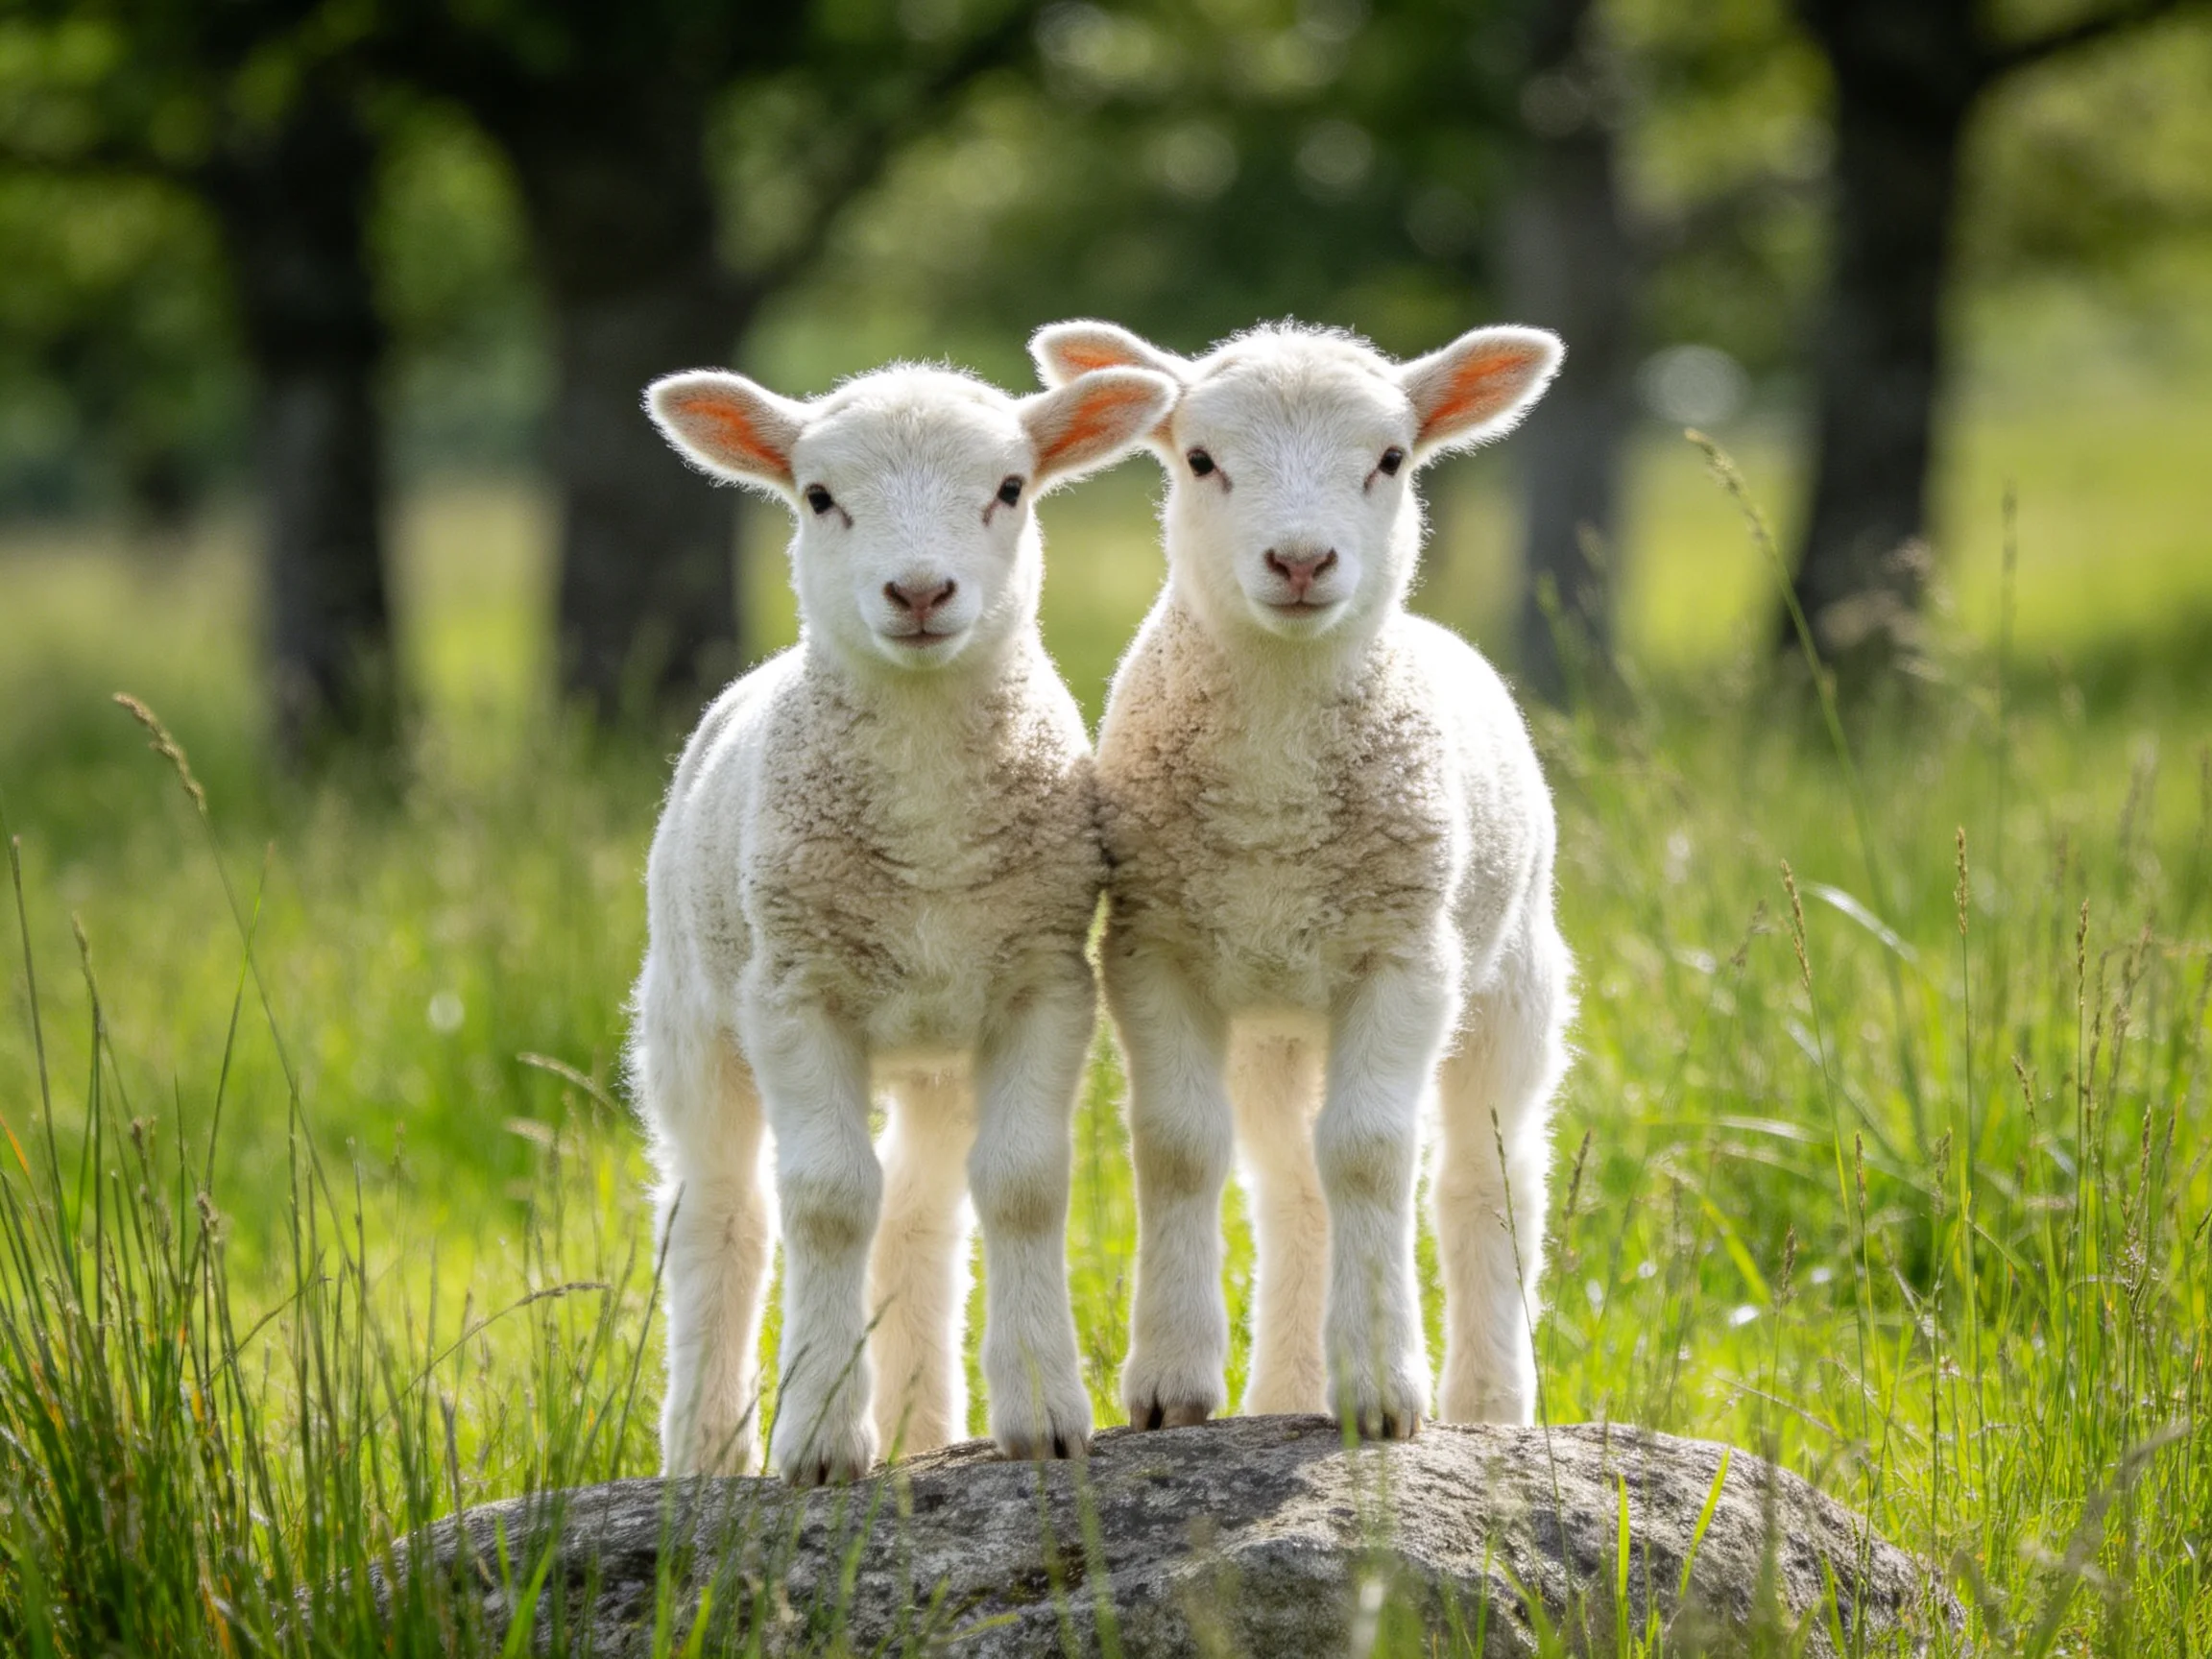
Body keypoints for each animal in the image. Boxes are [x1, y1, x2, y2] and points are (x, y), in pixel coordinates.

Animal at [632, 357, 1177, 1484]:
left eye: (1011, 488)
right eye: (818, 496)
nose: (920, 593)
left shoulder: (1043, 981)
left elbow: (1021, 1185)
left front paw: (1045, 1416)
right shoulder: (796, 990)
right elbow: (828, 1200)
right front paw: (819, 1441)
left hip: (936, 1055)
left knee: (921, 1217)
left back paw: (927, 1432)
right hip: (693, 1018)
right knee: (721, 1216)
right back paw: (705, 1453)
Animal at [1030, 319, 1573, 1439]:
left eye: (1391, 460)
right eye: (1200, 459)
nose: (1300, 560)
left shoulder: (1408, 958)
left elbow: (1371, 1152)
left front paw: (1383, 1395)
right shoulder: (1155, 950)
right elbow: (1181, 1147)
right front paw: (1171, 1386)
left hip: (1512, 983)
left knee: (1484, 1184)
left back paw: (1493, 1405)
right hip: (1274, 1032)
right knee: (1291, 1187)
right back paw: (1283, 1391)